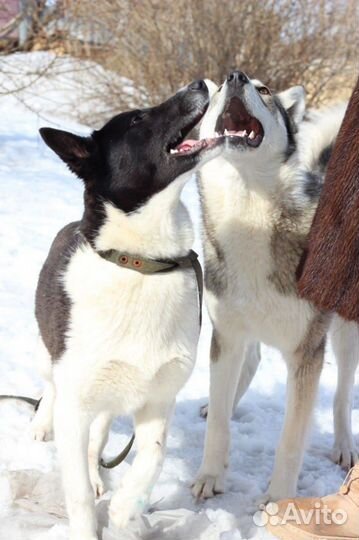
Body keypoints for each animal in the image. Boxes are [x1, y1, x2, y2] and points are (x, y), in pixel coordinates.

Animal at [31, 81, 222, 540]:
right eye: (137, 119)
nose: (200, 83)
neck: (140, 263)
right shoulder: (75, 405)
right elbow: (78, 494)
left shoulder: (158, 399)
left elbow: (149, 461)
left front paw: (124, 514)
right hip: (51, 358)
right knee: (50, 390)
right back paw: (41, 424)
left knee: (99, 436)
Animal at [193, 71, 358, 502]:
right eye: (220, 91)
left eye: (264, 90)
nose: (235, 76)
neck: (247, 208)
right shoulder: (226, 335)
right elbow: (217, 424)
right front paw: (210, 475)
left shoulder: (306, 354)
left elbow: (291, 441)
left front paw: (280, 500)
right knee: (249, 363)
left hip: (344, 333)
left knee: (341, 394)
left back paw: (344, 446)